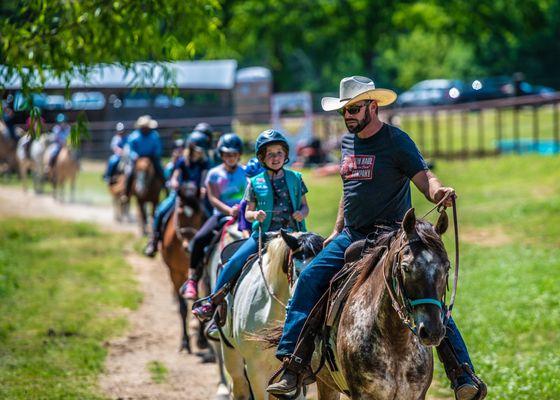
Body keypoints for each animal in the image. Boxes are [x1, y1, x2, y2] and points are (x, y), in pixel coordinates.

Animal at [160, 181, 206, 354]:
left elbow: (199, 300)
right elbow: (182, 308)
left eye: (200, 215)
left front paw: (201, 340)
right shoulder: (175, 273)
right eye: (179, 214)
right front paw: (185, 342)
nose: (189, 247)